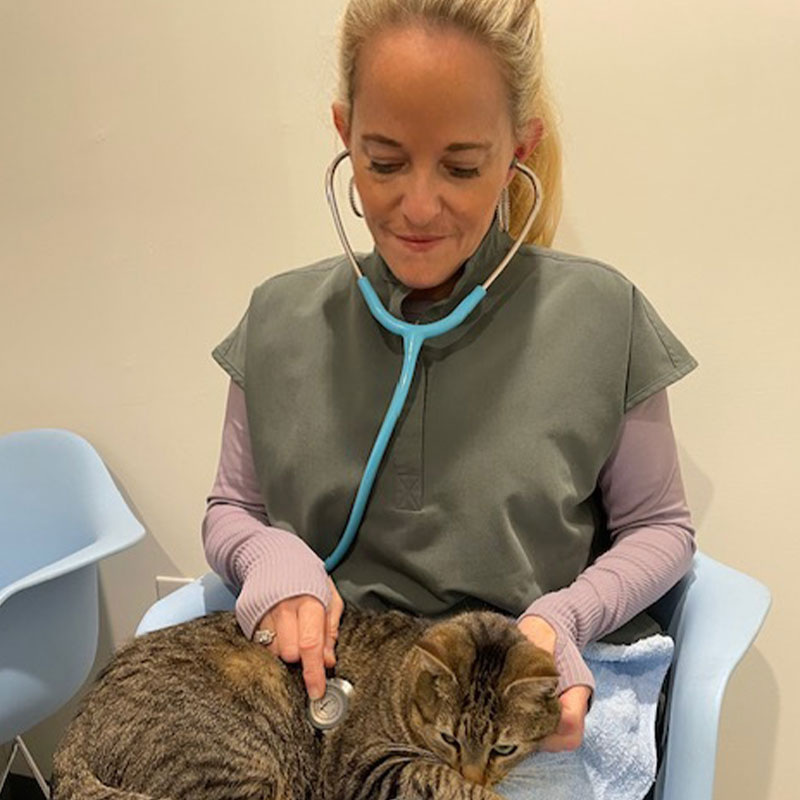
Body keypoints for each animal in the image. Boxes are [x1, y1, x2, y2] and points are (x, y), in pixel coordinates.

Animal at [53, 608, 560, 800]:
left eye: (504, 750)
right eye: (448, 738)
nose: (473, 772)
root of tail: (73, 736)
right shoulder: (368, 765)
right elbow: (435, 776)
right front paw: (480, 791)